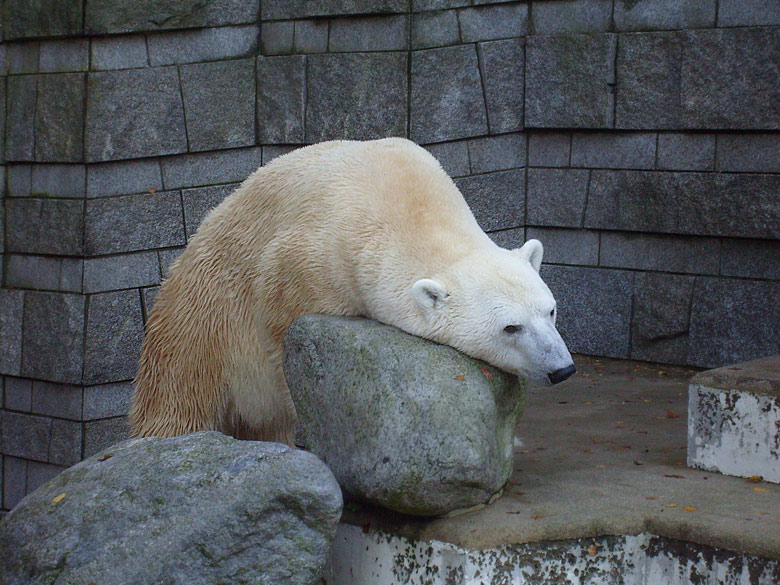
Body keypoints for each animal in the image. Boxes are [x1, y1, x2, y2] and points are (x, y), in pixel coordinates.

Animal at [133, 138, 572, 442]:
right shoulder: (304, 261)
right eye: (510, 328)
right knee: (179, 394)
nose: (563, 370)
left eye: (549, 311)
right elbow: (283, 346)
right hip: (202, 318)